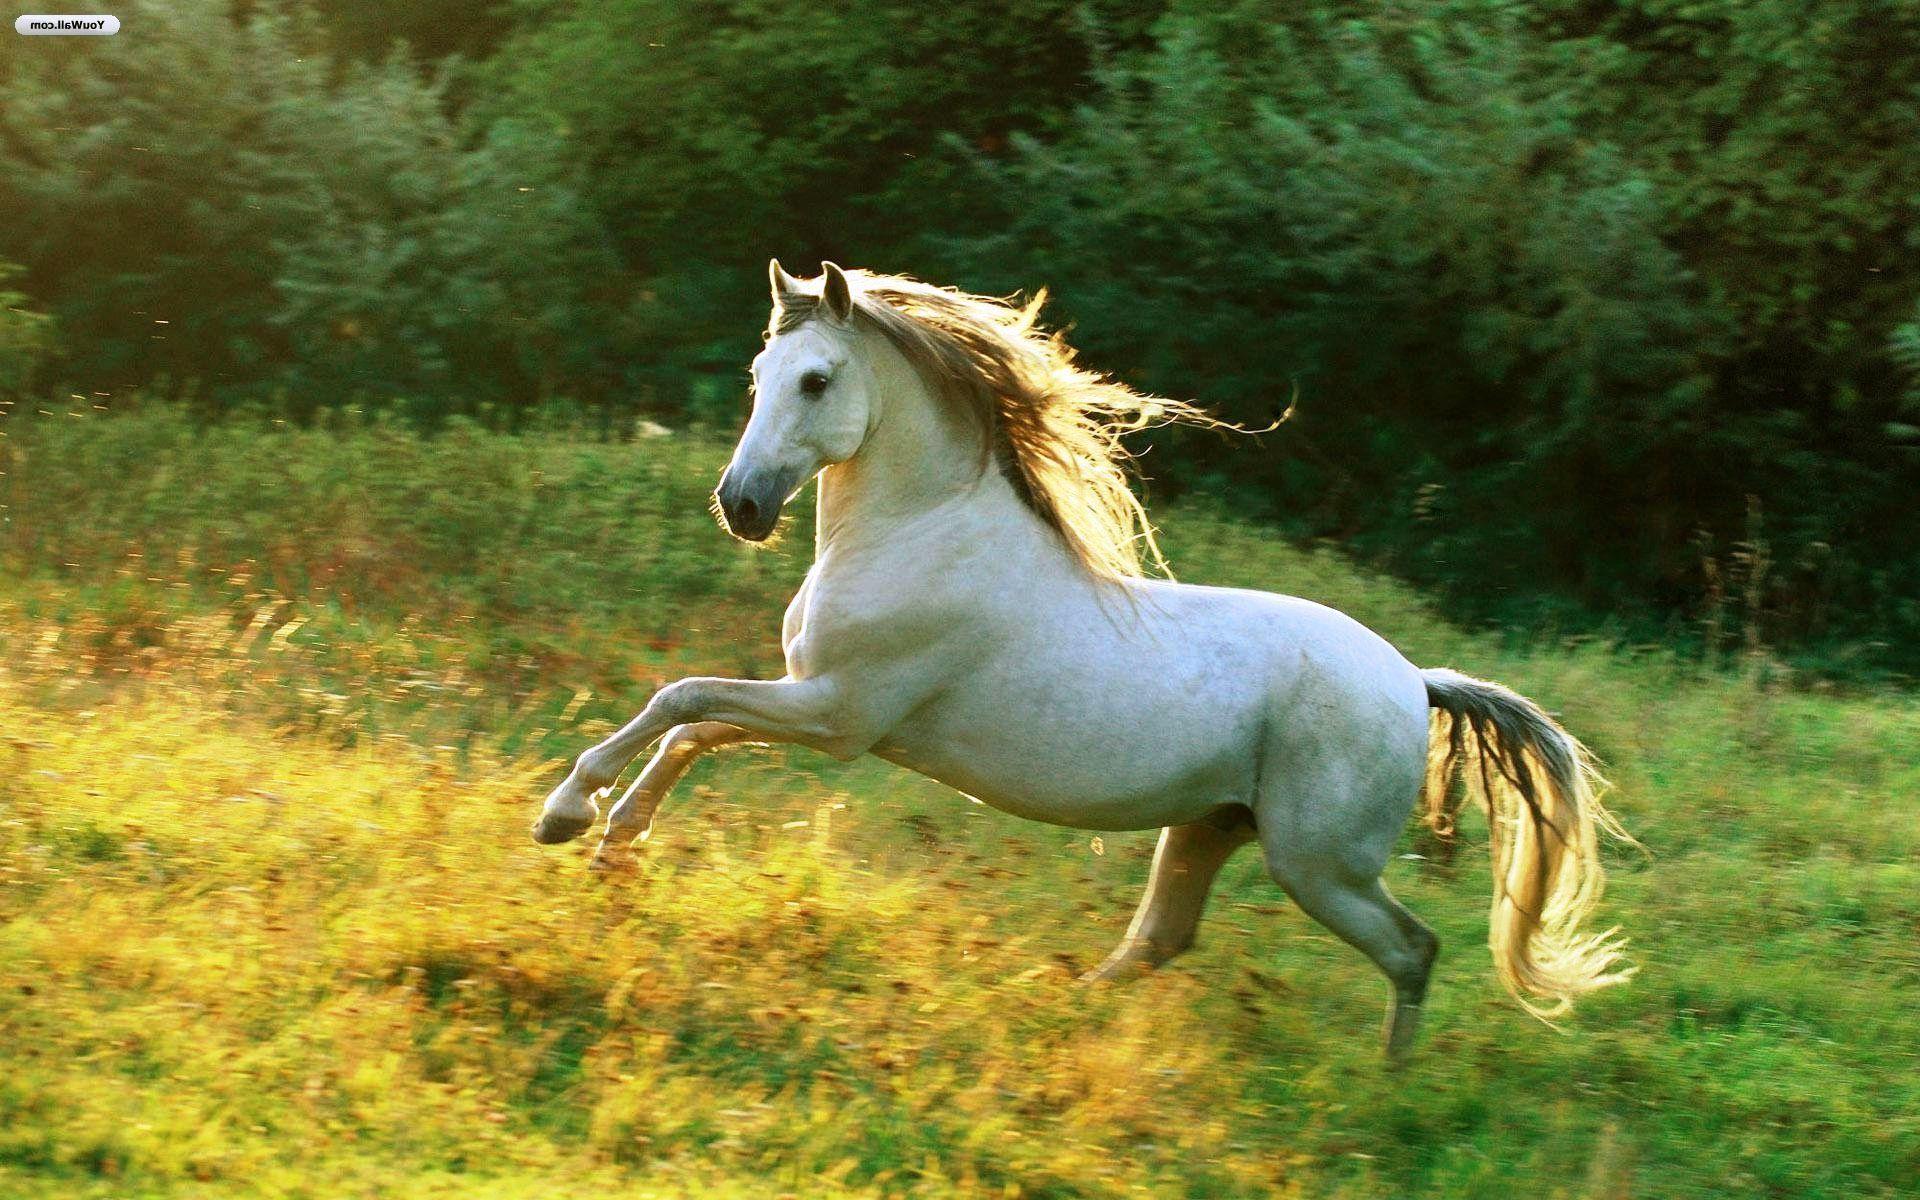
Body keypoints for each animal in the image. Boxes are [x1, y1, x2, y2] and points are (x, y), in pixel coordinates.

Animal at [531, 260, 1634, 1058]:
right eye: (760, 377)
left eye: (816, 380)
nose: (742, 505)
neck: (921, 535)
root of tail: (1415, 681)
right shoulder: (814, 702)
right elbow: (691, 728)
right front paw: (612, 844)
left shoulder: (839, 715)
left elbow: (681, 701)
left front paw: (566, 813)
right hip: (1212, 826)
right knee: (1163, 939)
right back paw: (1049, 1009)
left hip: (1318, 863)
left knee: (1412, 948)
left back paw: (1385, 1084)